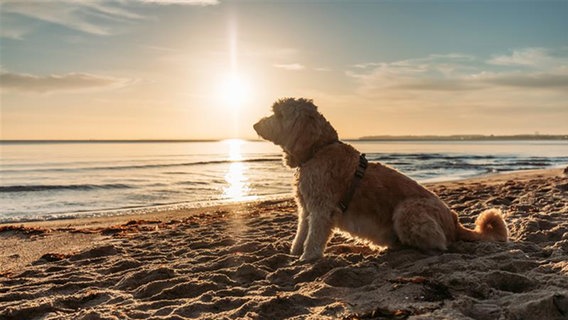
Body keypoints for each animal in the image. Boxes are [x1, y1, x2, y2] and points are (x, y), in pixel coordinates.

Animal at [251, 97, 508, 260]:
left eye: (279, 114)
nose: (254, 124)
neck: (318, 149)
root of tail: (454, 223)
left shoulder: (322, 210)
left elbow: (313, 237)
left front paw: (307, 258)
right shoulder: (306, 208)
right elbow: (301, 233)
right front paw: (295, 253)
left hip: (408, 210)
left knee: (438, 245)